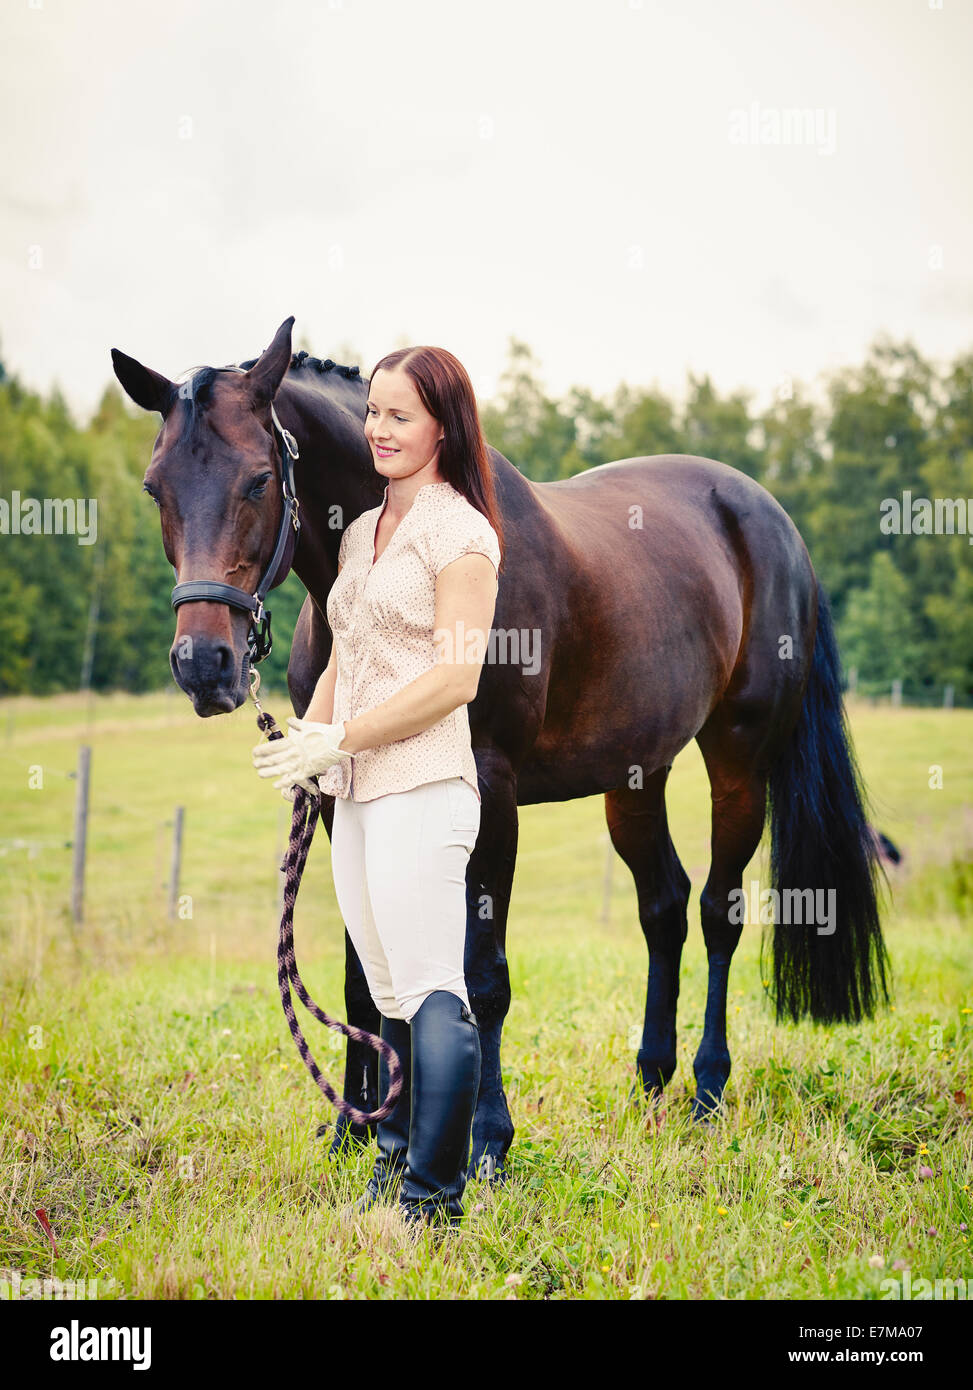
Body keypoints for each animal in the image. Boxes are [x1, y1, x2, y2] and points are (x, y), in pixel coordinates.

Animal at [111, 318, 889, 1184]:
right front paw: (356, 1130)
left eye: (255, 481)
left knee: (719, 911)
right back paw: (650, 1077)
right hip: (636, 776)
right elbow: (363, 975)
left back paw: (706, 1089)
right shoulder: (346, 799)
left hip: (738, 759)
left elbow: (482, 977)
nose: (202, 665)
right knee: (662, 906)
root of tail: (769, 520)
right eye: (155, 488)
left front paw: (484, 1142)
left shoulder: (489, 793)